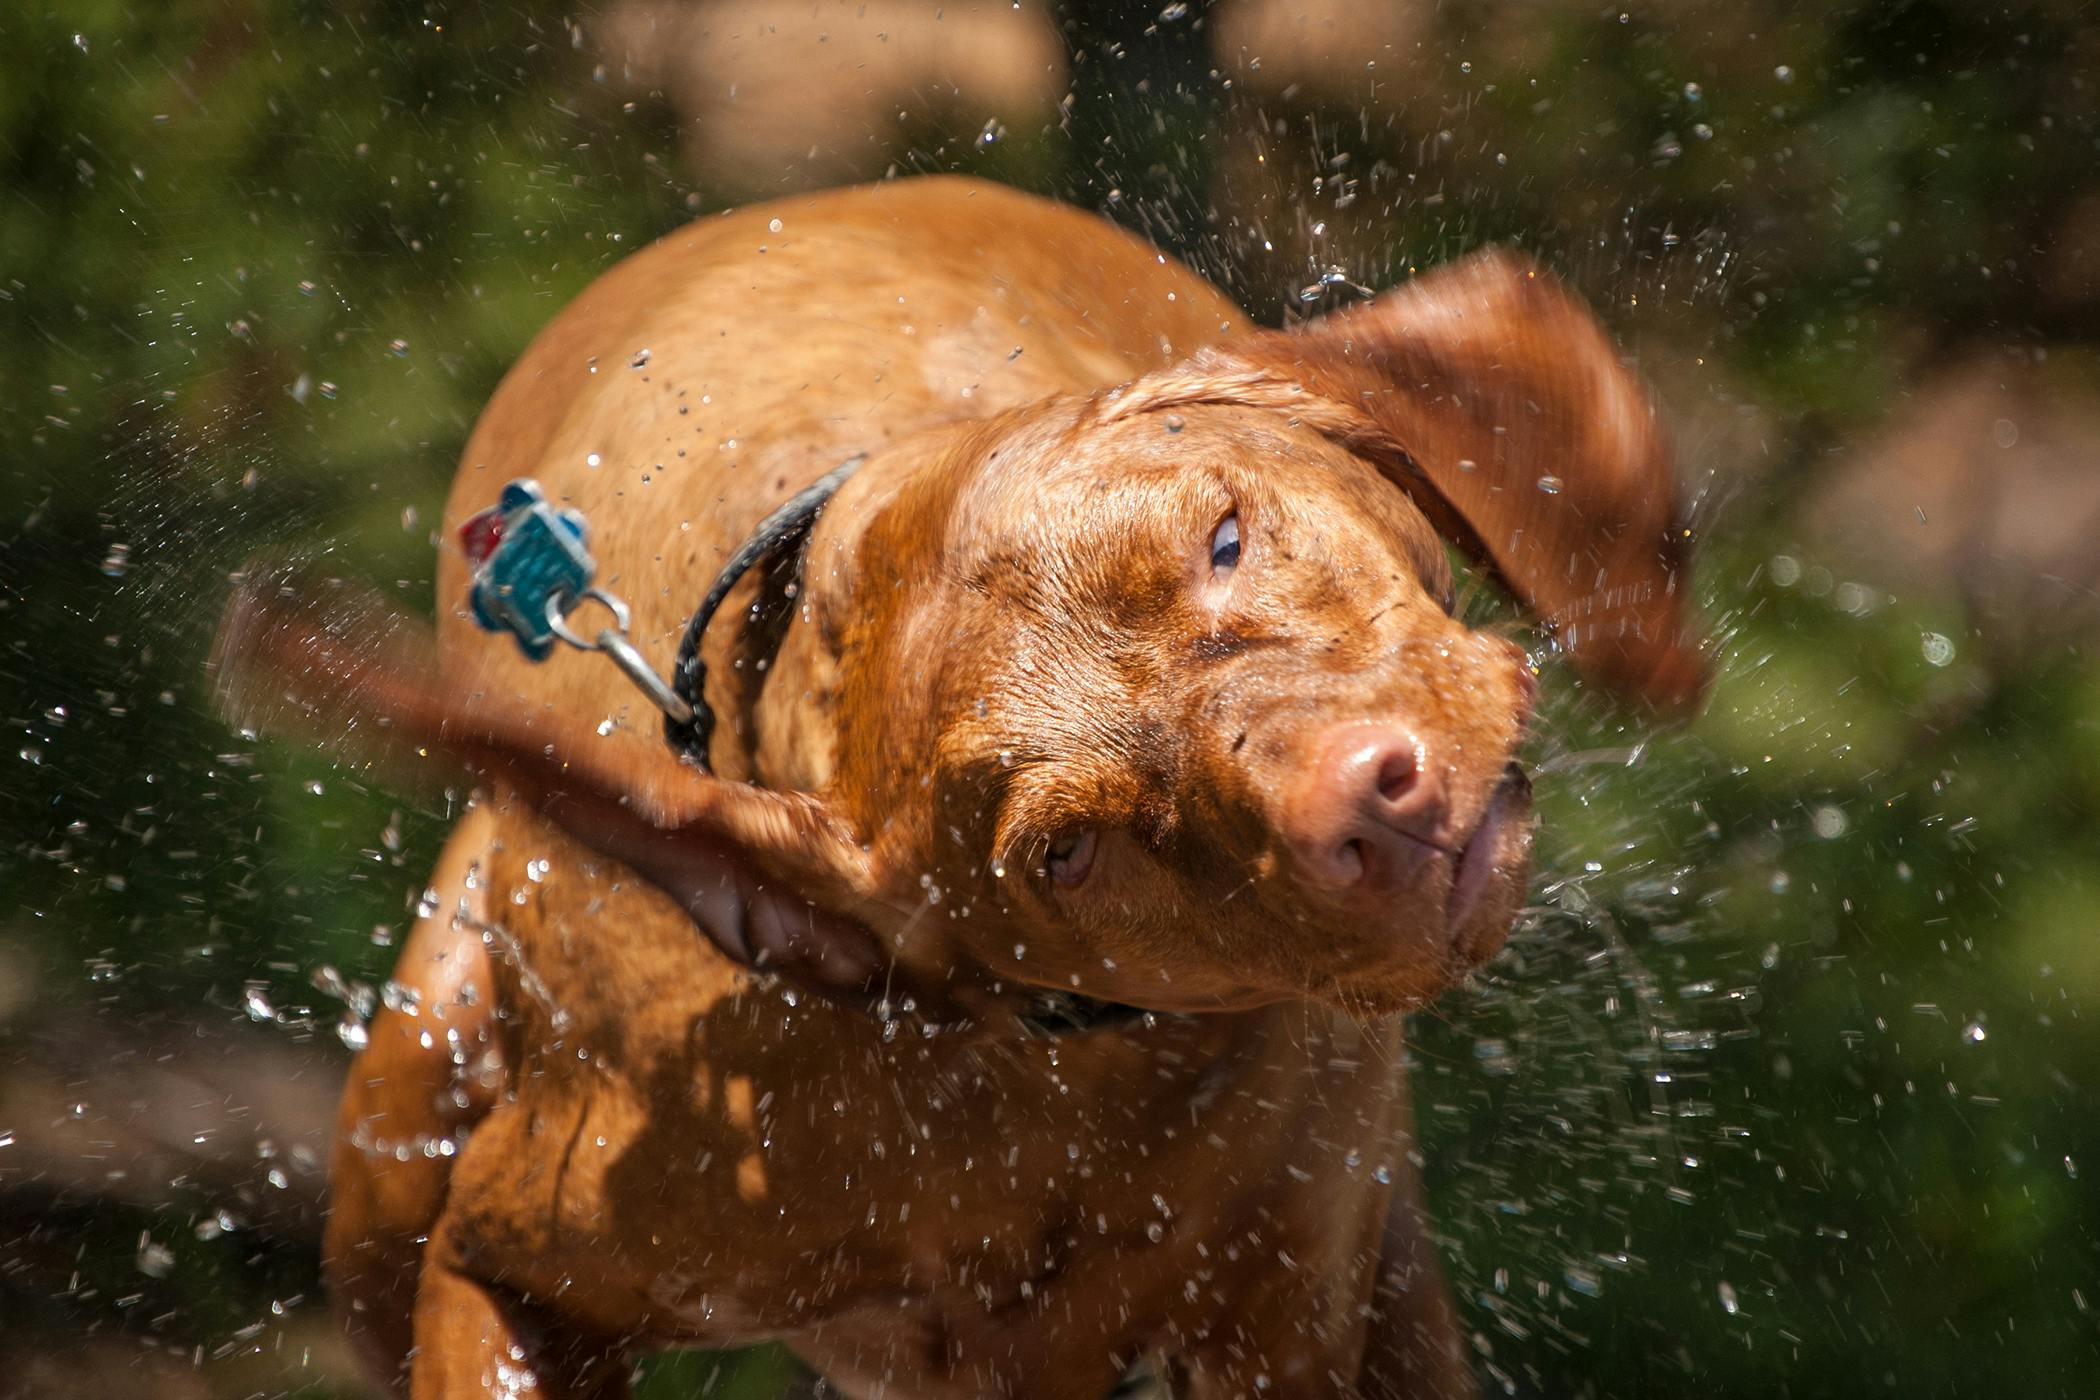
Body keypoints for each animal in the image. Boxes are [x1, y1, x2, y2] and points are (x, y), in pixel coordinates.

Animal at [213, 178, 1696, 1400]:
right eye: (1068, 853)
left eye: (1224, 537)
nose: (1373, 801)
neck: (1021, 1076)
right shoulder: (512, 1267)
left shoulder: (1287, 1318)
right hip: (401, 1147)